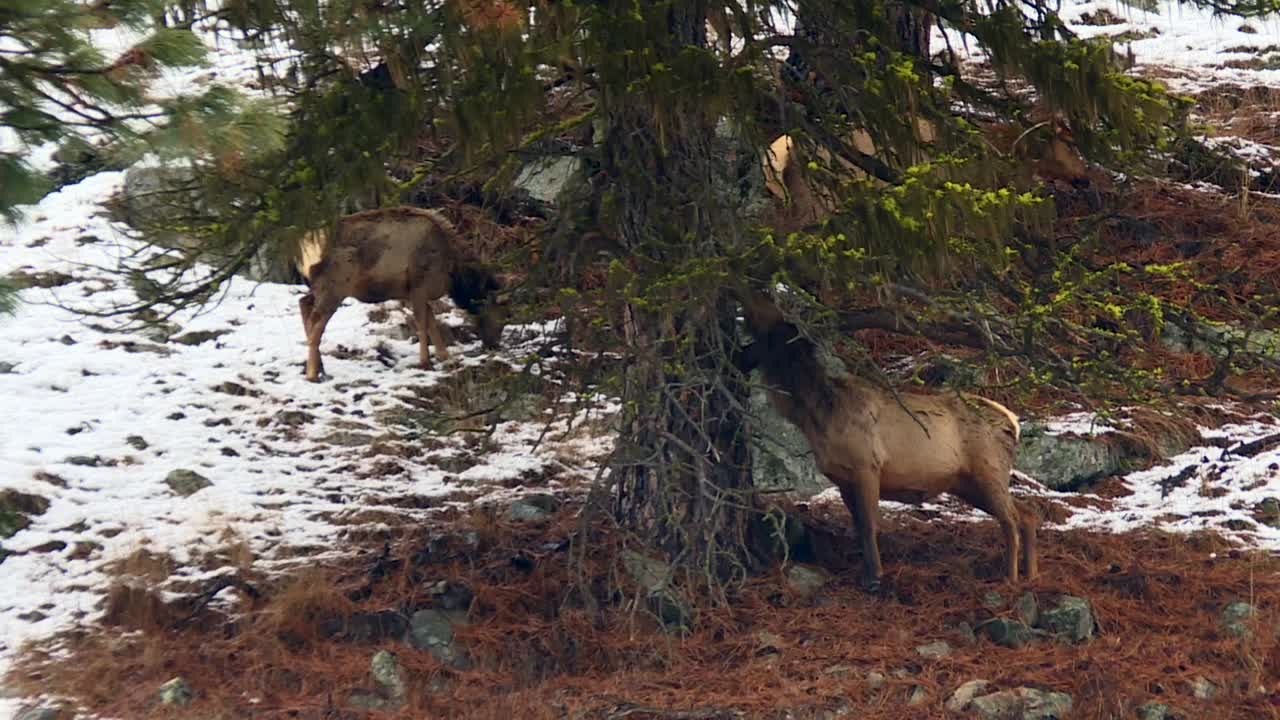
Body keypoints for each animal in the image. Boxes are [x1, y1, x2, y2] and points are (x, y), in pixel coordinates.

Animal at [294, 206, 506, 383]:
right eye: (500, 316)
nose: (494, 344)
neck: (452, 272)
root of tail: (304, 249)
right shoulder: (419, 286)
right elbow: (422, 323)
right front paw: (426, 362)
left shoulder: (414, 292)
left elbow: (431, 322)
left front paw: (445, 356)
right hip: (335, 286)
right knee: (316, 322)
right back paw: (313, 374)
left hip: (316, 286)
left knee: (304, 303)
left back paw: (320, 368)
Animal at [738, 293, 1039, 591]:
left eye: (765, 329)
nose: (748, 299)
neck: (816, 418)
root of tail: (1013, 423)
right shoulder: (843, 478)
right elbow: (858, 526)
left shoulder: (867, 465)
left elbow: (870, 525)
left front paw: (875, 577)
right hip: (966, 483)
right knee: (1026, 512)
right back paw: (1031, 573)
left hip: (988, 468)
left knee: (1010, 518)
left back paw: (1010, 577)